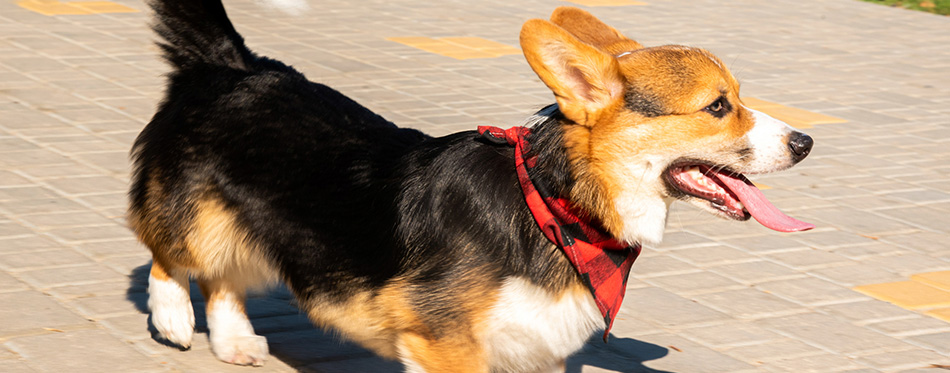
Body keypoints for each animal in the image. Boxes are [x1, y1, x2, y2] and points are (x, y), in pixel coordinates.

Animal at [128, 0, 820, 370]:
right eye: (718, 107)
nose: (806, 142)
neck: (555, 207)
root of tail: (232, 64)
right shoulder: (445, 344)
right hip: (195, 212)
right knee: (170, 256)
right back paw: (173, 318)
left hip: (256, 222)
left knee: (224, 280)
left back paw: (234, 343)